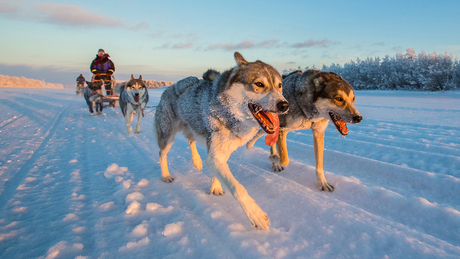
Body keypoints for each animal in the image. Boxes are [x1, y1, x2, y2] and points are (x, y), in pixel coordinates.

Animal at [156, 52, 290, 232]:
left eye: (279, 85)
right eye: (259, 84)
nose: (284, 105)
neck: (228, 111)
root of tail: (170, 87)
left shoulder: (222, 152)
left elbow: (218, 171)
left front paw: (215, 187)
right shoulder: (216, 154)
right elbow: (237, 187)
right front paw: (255, 213)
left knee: (190, 140)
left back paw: (197, 161)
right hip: (167, 136)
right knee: (162, 153)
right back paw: (166, 175)